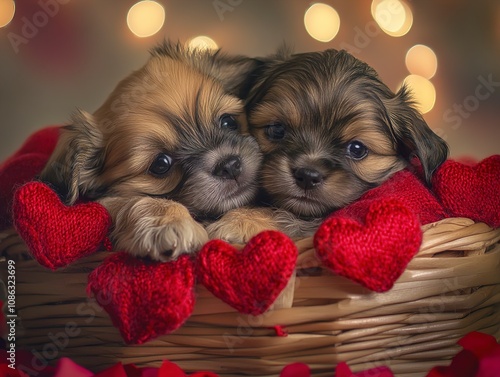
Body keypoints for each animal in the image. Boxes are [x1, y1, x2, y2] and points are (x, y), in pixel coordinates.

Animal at [40, 40, 264, 258]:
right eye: (161, 164)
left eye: (228, 122)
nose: (229, 165)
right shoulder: (107, 201)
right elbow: (142, 200)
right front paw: (169, 221)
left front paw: (241, 224)